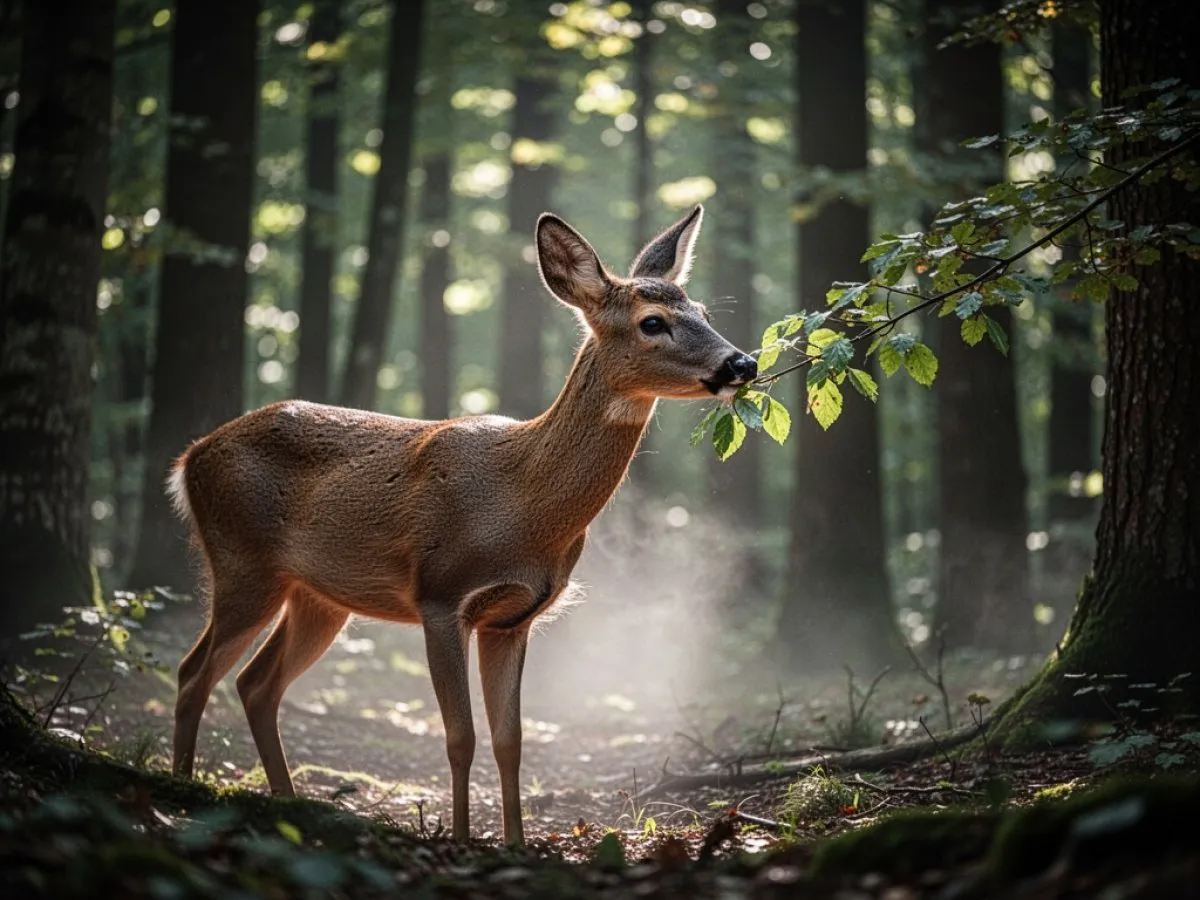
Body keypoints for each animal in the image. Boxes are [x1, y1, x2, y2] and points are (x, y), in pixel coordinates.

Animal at [167, 205, 757, 845]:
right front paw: (460, 837)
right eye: (653, 322)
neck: (521, 507)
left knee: (256, 684)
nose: (743, 362)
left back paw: (286, 802)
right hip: (242, 561)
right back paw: (182, 791)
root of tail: (189, 458)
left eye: (703, 312)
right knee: (193, 671)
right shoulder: (441, 595)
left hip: (318, 597)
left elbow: (510, 740)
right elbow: (459, 737)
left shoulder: (514, 619)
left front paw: (517, 843)